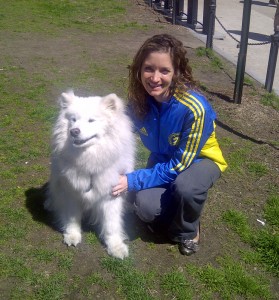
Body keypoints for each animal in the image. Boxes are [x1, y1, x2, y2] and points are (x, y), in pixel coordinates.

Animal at [44, 90, 135, 258]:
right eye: (73, 120)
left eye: (91, 120)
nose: (74, 131)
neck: (89, 161)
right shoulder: (71, 192)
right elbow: (72, 217)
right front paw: (72, 235)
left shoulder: (111, 194)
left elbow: (112, 224)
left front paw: (116, 246)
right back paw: (50, 203)